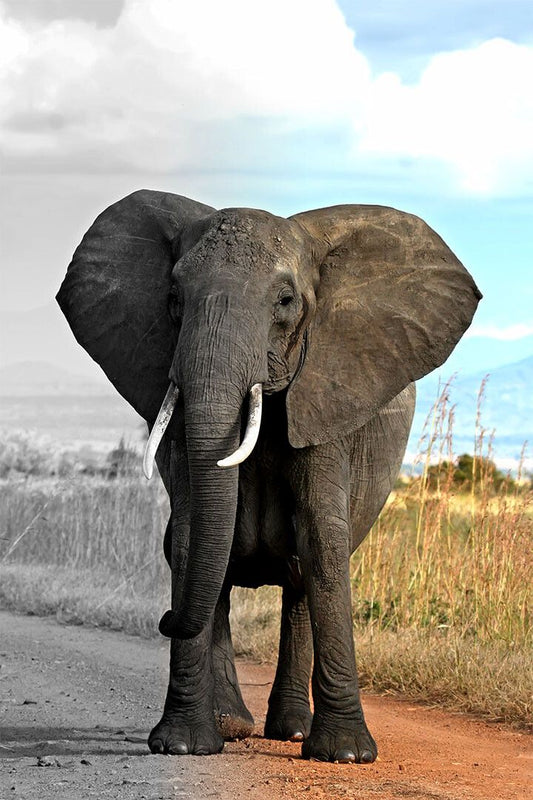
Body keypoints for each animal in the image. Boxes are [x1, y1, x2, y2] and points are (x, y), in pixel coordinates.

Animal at [56, 190, 481, 763]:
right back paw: (231, 726)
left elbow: (323, 538)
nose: (163, 619)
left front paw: (346, 755)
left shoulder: (329, 389)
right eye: (174, 296)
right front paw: (182, 746)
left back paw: (293, 733)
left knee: (302, 573)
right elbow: (189, 537)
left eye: (284, 301)